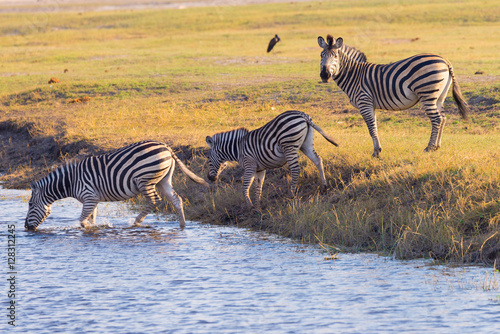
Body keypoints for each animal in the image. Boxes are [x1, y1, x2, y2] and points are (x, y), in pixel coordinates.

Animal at [24, 140, 209, 230]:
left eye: (30, 204)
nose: (26, 227)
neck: (71, 182)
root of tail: (167, 147)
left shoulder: (89, 196)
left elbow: (82, 220)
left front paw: (86, 227)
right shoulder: (92, 200)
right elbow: (90, 219)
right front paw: (94, 228)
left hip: (145, 180)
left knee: (155, 200)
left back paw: (137, 221)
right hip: (163, 179)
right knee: (176, 199)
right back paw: (182, 226)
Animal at [204, 109, 340, 209]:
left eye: (209, 159)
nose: (210, 178)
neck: (238, 148)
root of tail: (303, 115)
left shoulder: (250, 165)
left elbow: (245, 186)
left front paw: (250, 205)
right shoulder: (259, 169)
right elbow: (258, 186)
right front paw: (257, 205)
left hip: (289, 145)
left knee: (296, 169)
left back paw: (291, 195)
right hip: (306, 144)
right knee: (318, 160)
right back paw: (324, 186)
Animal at [316, 35, 468, 158]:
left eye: (335, 56)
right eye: (321, 55)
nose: (324, 75)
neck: (354, 75)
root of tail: (445, 60)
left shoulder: (364, 101)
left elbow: (371, 127)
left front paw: (376, 152)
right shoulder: (370, 104)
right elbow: (374, 126)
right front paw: (377, 149)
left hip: (427, 93)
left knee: (436, 119)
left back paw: (429, 147)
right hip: (439, 96)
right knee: (443, 118)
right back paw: (437, 146)